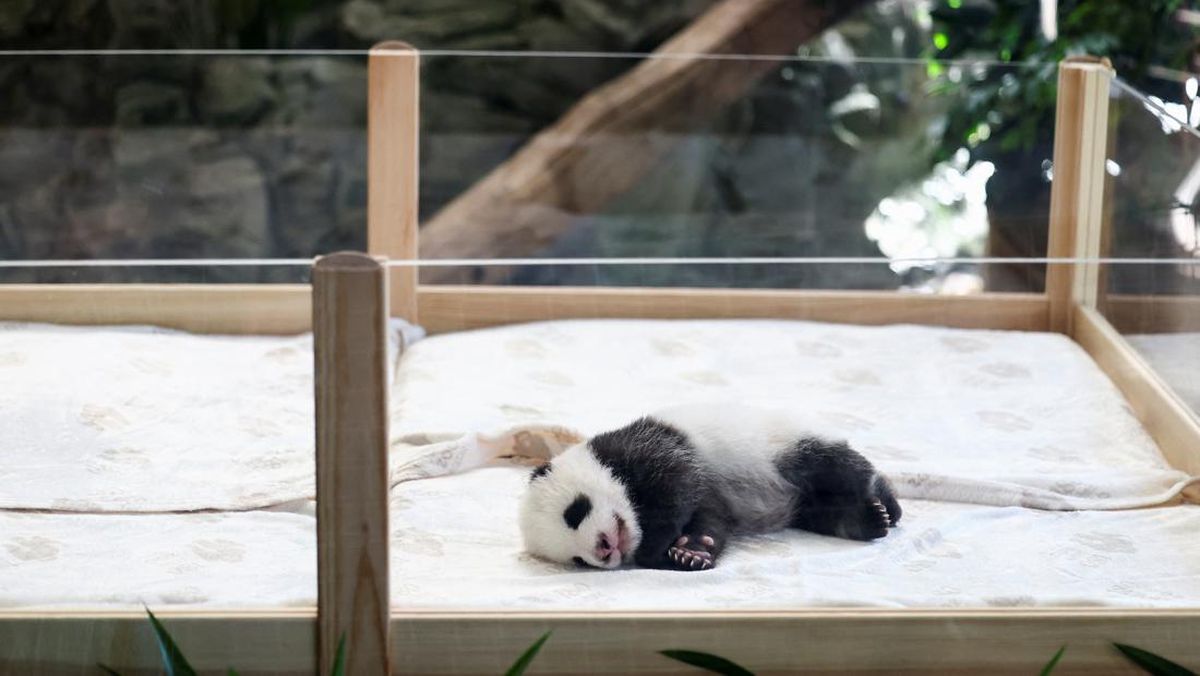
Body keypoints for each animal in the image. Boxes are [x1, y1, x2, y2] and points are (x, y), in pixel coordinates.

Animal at [518, 402, 901, 571]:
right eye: (577, 560)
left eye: (575, 512)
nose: (604, 550)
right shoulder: (713, 500)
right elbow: (710, 520)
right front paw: (690, 552)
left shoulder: (646, 449)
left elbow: (677, 481)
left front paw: (656, 548)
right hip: (805, 502)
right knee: (826, 510)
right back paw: (866, 521)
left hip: (785, 445)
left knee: (839, 468)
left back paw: (886, 506)